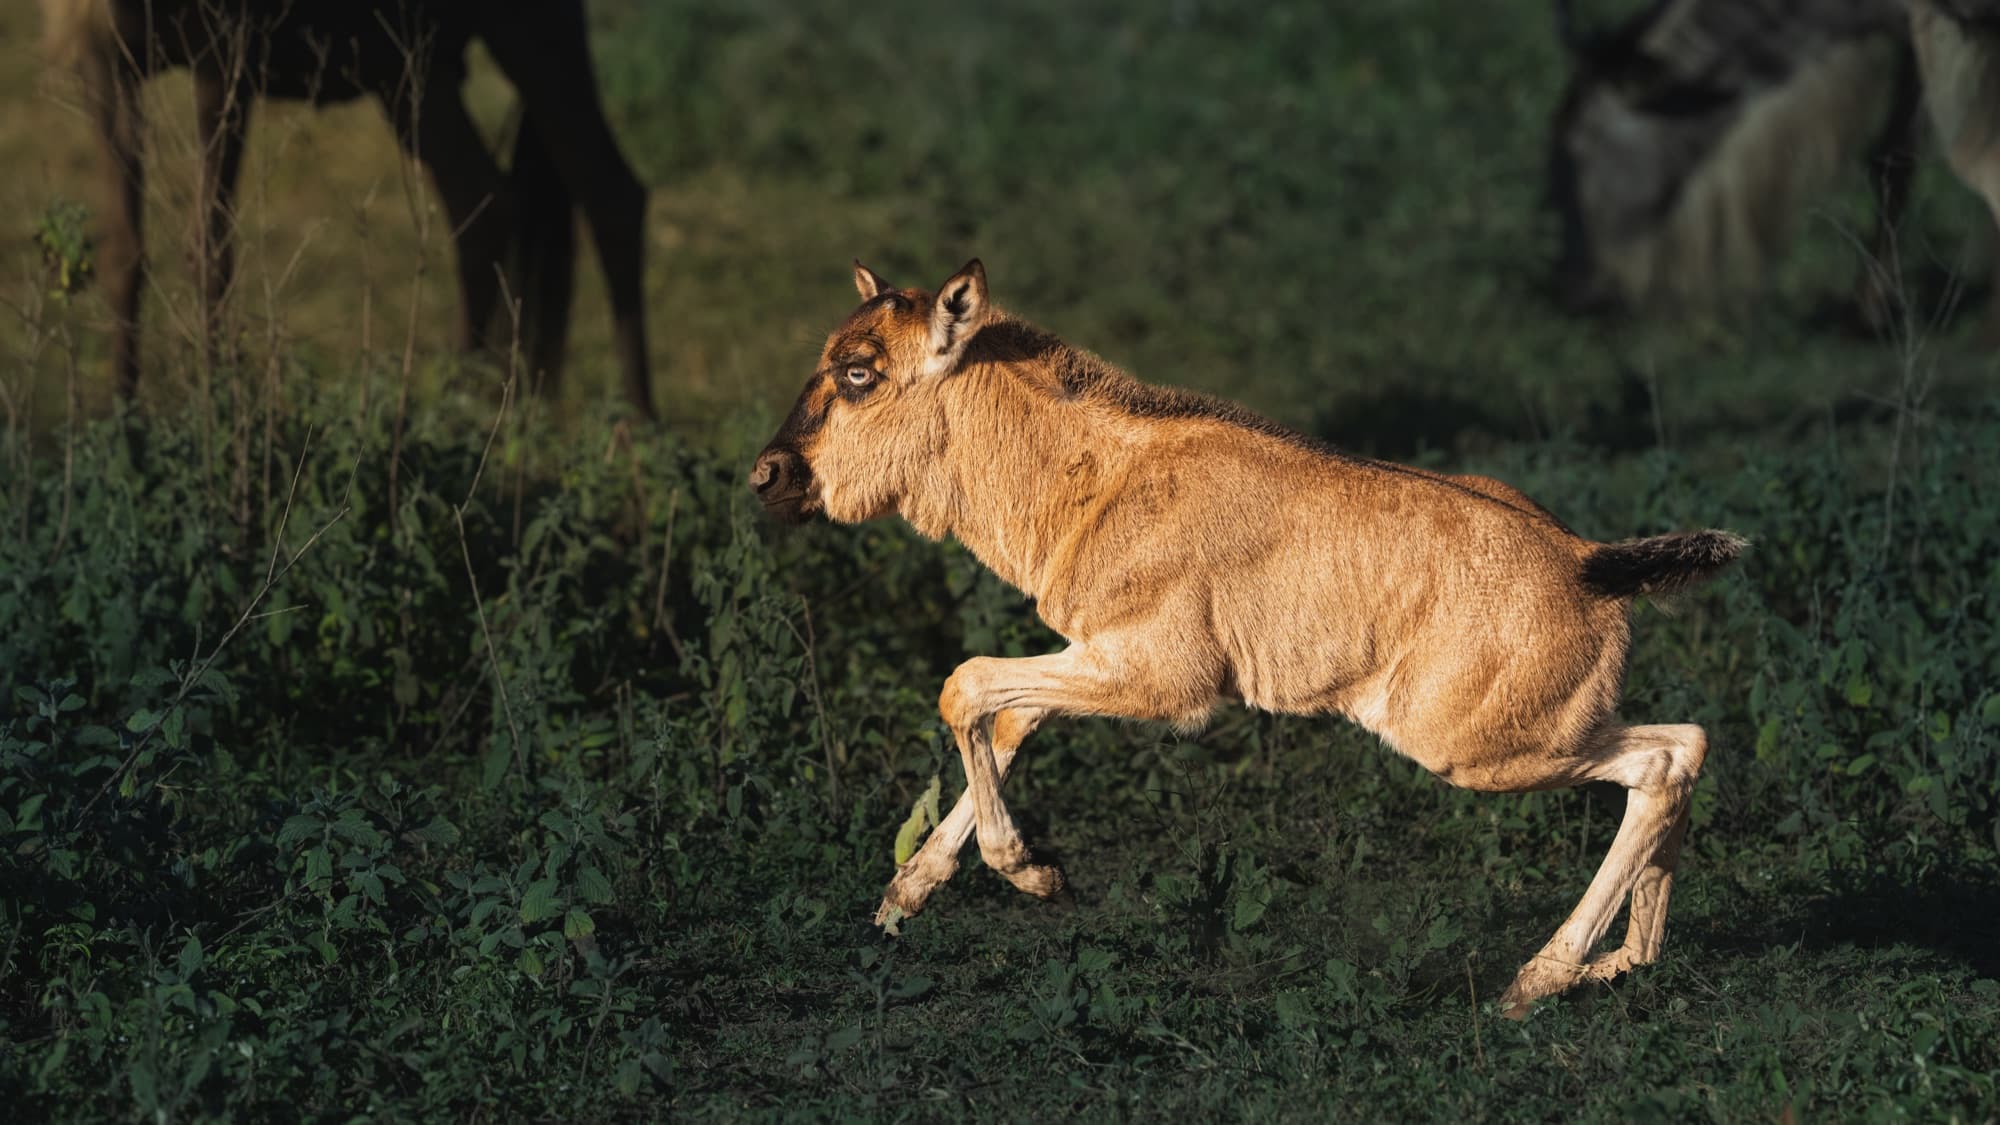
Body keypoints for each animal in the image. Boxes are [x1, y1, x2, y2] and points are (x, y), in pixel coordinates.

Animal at [38, 0, 656, 418]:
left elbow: (209, 248)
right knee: (481, 202)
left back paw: (639, 442)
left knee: (611, 193)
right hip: (410, 73)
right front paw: (127, 439)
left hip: (532, 32)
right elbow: (124, 252)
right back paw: (458, 417)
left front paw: (218, 426)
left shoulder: (223, 56)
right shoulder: (102, 60)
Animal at [750, 260, 1745, 1014]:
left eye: (859, 371)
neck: (1098, 478)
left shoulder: (1164, 683)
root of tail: (1585, 561)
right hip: (1544, 733)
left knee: (1660, 764)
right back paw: (1625, 961)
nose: (768, 475)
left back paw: (1535, 980)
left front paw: (1031, 872)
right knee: (1686, 745)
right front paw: (909, 894)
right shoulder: (1091, 657)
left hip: (1481, 747)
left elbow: (963, 685)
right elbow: (1005, 718)